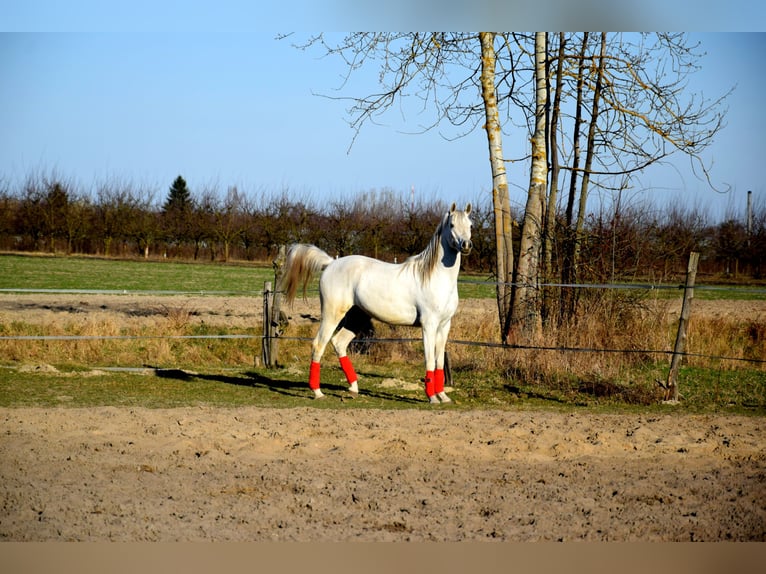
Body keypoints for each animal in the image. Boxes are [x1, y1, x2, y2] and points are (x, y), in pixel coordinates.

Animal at [280, 202, 472, 403]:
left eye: (470, 225)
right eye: (452, 224)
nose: (466, 245)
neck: (434, 277)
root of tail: (331, 263)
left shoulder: (444, 325)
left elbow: (439, 360)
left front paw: (443, 396)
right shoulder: (429, 325)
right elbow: (429, 360)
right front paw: (432, 397)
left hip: (356, 318)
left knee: (339, 343)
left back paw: (353, 388)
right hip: (332, 315)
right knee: (319, 344)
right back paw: (317, 392)